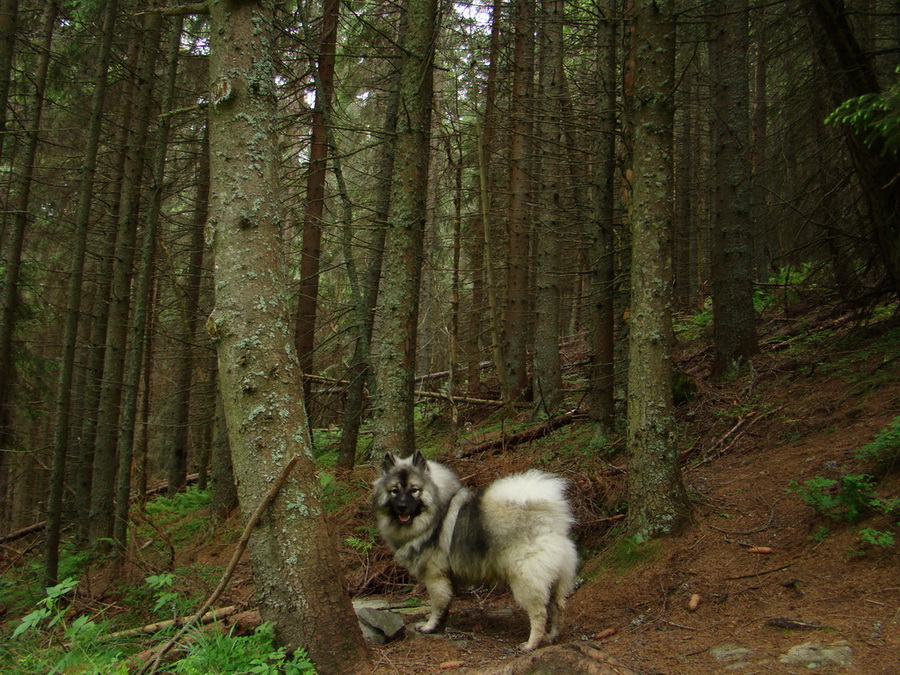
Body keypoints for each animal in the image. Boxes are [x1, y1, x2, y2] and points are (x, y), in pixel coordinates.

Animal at [370, 452, 576, 652]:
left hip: (526, 580)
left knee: (539, 613)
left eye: (414, 490)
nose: (402, 507)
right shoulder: (448, 578)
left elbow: (437, 603)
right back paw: (552, 637)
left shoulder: (435, 577)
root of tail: (551, 522)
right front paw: (440, 625)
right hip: (553, 581)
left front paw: (429, 626)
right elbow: (446, 604)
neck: (436, 512)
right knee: (557, 608)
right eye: (395, 491)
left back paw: (531, 644)